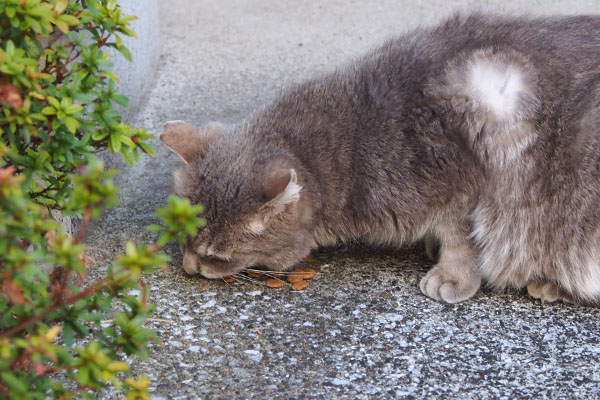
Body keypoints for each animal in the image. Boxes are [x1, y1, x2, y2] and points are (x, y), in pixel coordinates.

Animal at [159, 13, 600, 306]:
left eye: (217, 257)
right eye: (182, 237)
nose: (190, 267)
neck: (357, 139)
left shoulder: (465, 192)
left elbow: (463, 243)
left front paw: (451, 275)